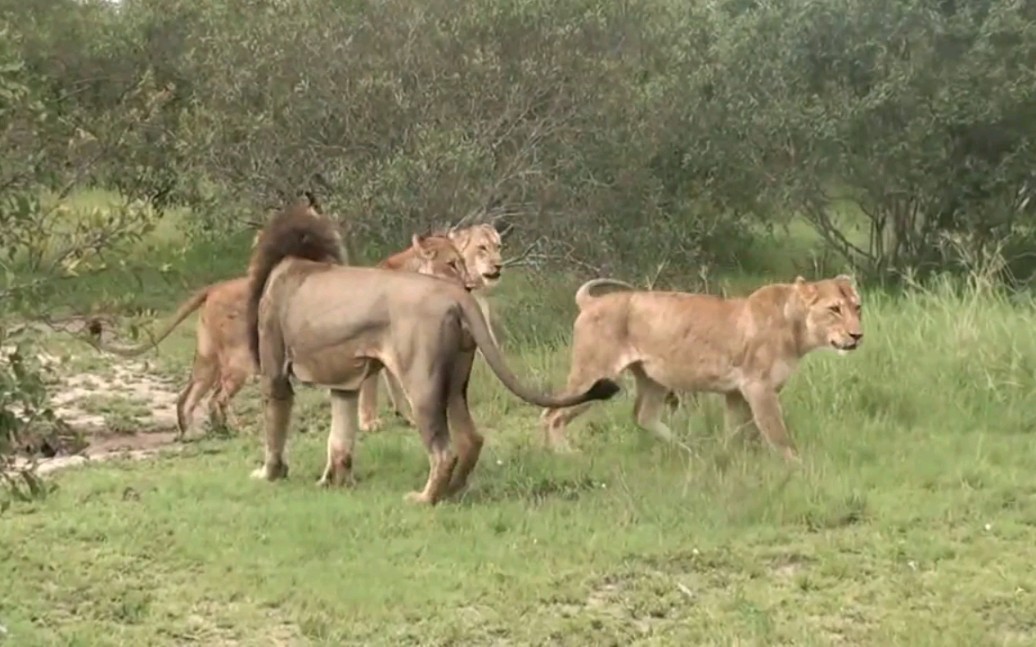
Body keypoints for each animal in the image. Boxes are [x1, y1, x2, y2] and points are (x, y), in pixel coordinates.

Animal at [246, 201, 617, 505]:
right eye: (454, 262)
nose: (470, 280)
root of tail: (458, 296)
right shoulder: (344, 384)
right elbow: (340, 437)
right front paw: (332, 481)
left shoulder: (275, 372)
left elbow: (274, 430)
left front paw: (269, 474)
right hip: (454, 381)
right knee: (471, 439)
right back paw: (452, 490)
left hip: (421, 381)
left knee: (443, 451)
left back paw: (424, 498)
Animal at [538, 275, 861, 461]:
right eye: (834, 309)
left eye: (857, 307)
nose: (858, 335)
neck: (796, 328)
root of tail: (590, 302)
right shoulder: (758, 387)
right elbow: (777, 433)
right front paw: (796, 466)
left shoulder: (736, 392)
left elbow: (735, 431)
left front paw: (727, 458)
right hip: (595, 376)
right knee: (551, 414)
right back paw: (566, 457)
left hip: (654, 378)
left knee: (644, 415)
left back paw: (689, 451)